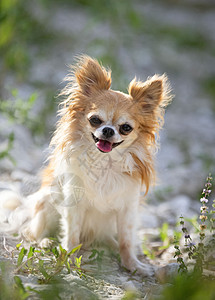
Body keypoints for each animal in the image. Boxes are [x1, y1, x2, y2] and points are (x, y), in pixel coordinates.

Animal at [0, 55, 171, 276]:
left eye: (126, 128)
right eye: (95, 120)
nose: (108, 130)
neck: (104, 162)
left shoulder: (127, 208)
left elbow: (126, 240)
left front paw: (132, 265)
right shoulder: (73, 203)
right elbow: (72, 236)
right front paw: (70, 259)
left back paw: (112, 244)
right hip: (48, 200)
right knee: (33, 232)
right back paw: (46, 241)